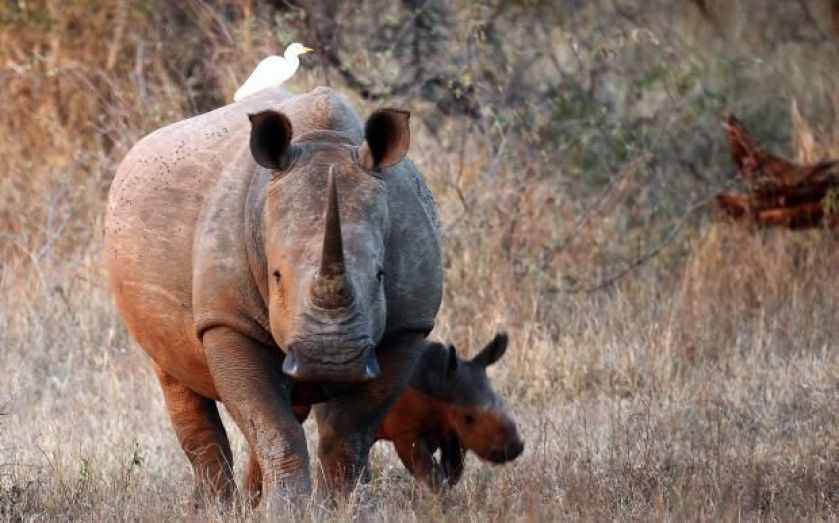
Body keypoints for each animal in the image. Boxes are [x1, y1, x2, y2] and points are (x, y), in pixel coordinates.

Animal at [104, 86, 442, 504]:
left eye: (381, 275)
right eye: (276, 276)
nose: (331, 359)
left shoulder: (407, 326)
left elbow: (348, 432)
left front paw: (347, 506)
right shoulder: (228, 321)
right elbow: (273, 426)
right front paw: (288, 509)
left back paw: (249, 503)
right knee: (176, 378)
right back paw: (217, 507)